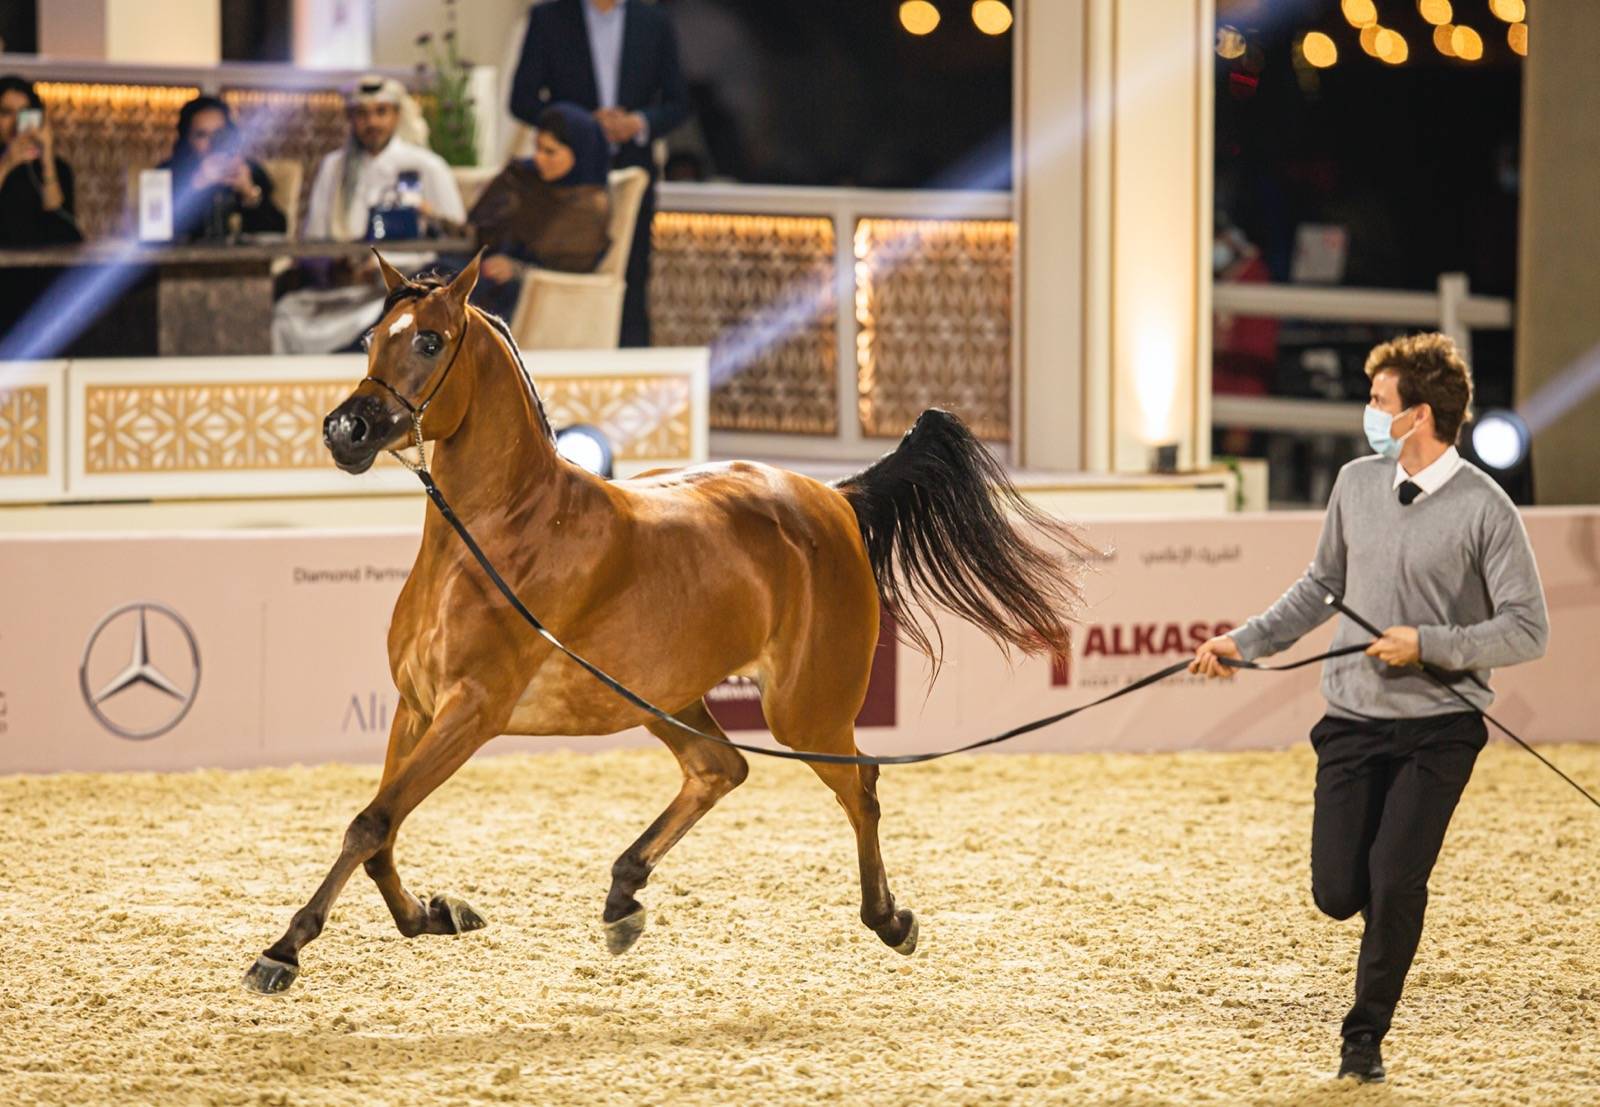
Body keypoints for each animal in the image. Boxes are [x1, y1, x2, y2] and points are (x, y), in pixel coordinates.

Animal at [243, 252, 1090, 994]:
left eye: (427, 339)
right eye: (369, 338)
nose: (344, 430)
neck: (494, 536)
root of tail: (835, 497)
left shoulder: (469, 713)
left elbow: (371, 821)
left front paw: (283, 951)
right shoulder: (415, 705)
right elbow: (379, 832)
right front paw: (433, 914)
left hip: (804, 708)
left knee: (861, 784)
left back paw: (888, 918)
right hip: (665, 696)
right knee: (721, 767)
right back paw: (623, 896)